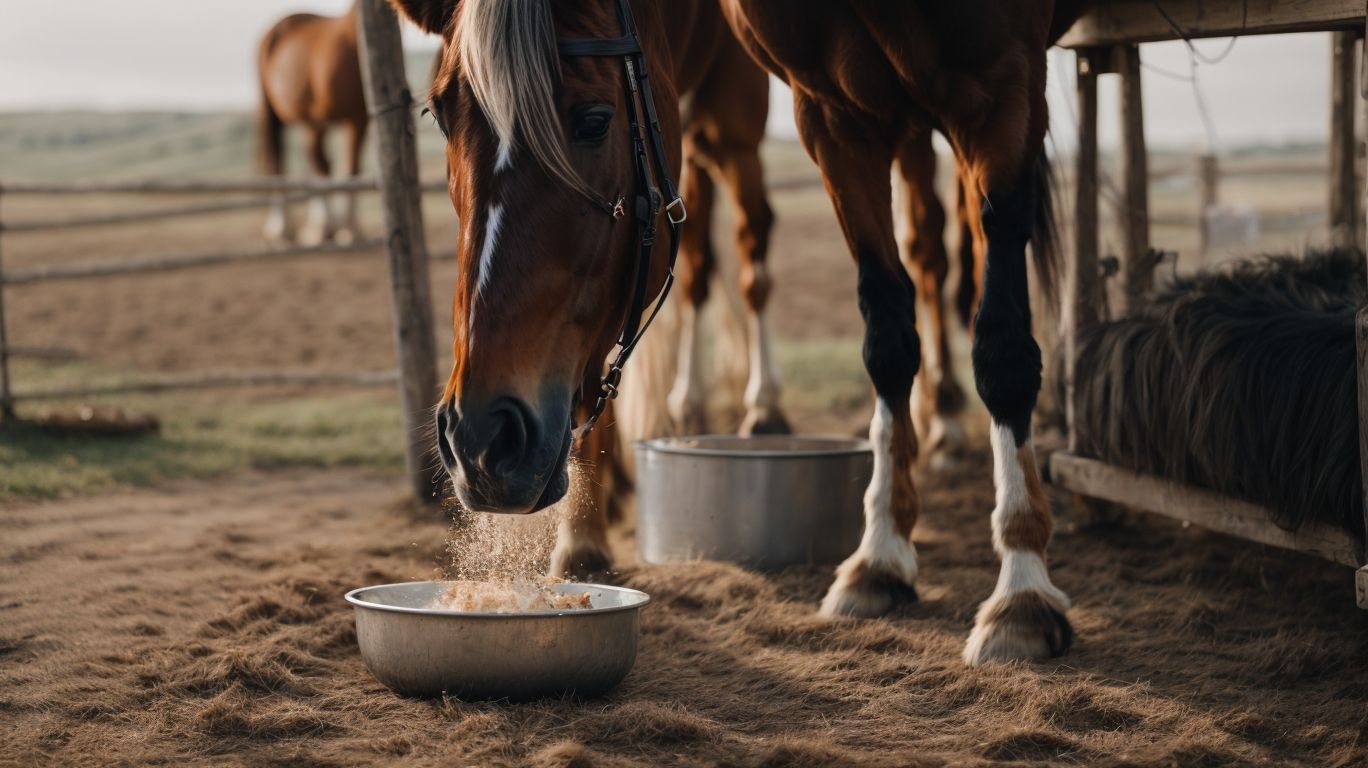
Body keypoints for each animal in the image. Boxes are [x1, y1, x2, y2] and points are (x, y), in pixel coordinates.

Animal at [257, 4, 368, 247]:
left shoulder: (361, 119)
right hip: (276, 116)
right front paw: (335, 230)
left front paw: (346, 229)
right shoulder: (321, 117)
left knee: (311, 161)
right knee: (278, 161)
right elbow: (330, 167)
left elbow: (351, 169)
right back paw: (282, 229)